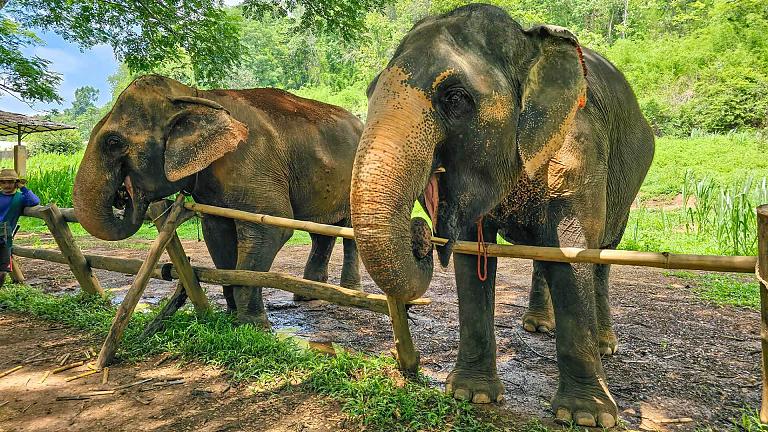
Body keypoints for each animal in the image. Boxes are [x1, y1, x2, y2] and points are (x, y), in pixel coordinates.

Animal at [73, 74, 363, 328]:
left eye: (113, 142)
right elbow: (217, 233)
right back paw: (307, 295)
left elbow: (271, 228)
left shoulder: (253, 163)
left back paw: (349, 292)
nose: (124, 195)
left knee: (349, 232)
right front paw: (233, 318)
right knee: (321, 233)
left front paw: (254, 327)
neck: (196, 95)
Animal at [350, 4, 654, 428]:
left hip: (627, 189)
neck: (529, 47)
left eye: (455, 98)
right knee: (544, 254)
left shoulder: (582, 148)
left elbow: (573, 252)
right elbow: (472, 256)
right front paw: (471, 394)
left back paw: (605, 345)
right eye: (370, 91)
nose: (420, 234)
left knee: (602, 256)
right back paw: (538, 325)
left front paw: (586, 417)